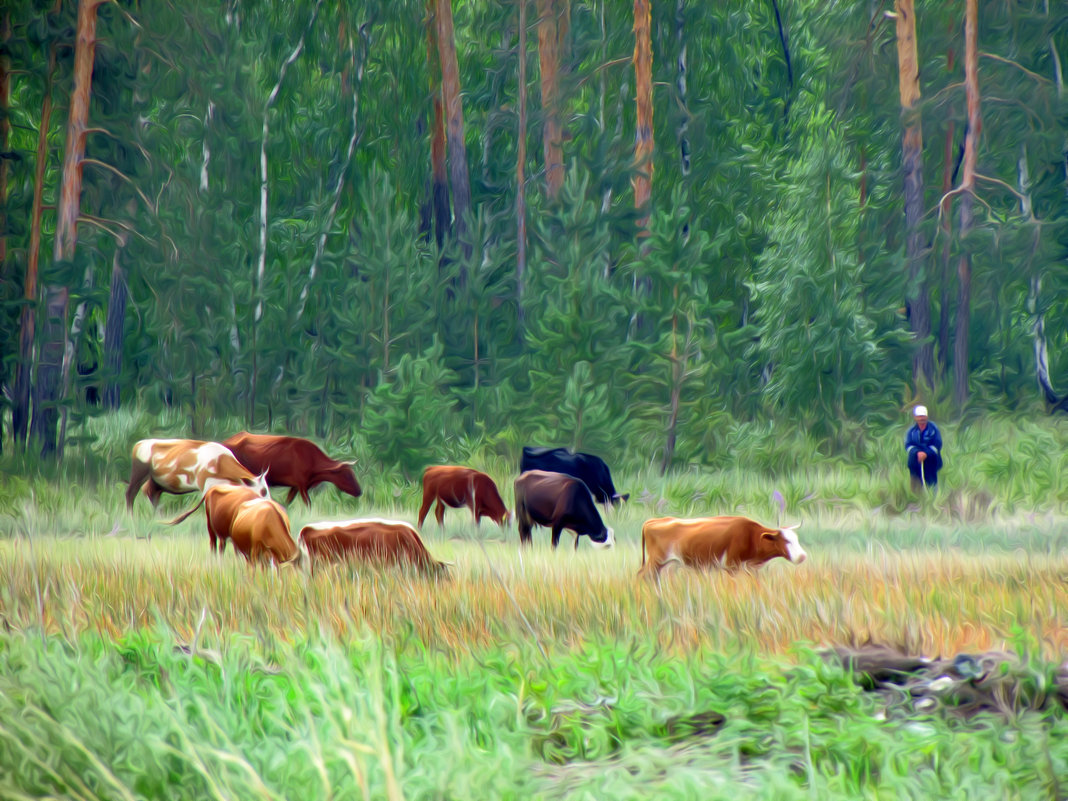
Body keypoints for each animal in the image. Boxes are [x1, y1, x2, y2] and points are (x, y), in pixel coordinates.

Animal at [125, 440, 269, 514]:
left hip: (156, 482)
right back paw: (130, 517)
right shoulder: (206, 487)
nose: (269, 502)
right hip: (139, 473)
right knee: (131, 493)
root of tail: (139, 443)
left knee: (151, 493)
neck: (220, 462)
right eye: (264, 491)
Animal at [221, 433, 363, 508]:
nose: (359, 491)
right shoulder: (302, 485)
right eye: (347, 475)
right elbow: (308, 504)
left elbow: (287, 503)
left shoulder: (295, 486)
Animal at [636, 516, 803, 580]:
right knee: (643, 575)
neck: (751, 536)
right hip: (656, 561)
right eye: (786, 541)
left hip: (665, 564)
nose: (802, 556)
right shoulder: (731, 565)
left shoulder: (750, 568)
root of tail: (653, 520)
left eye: (797, 539)